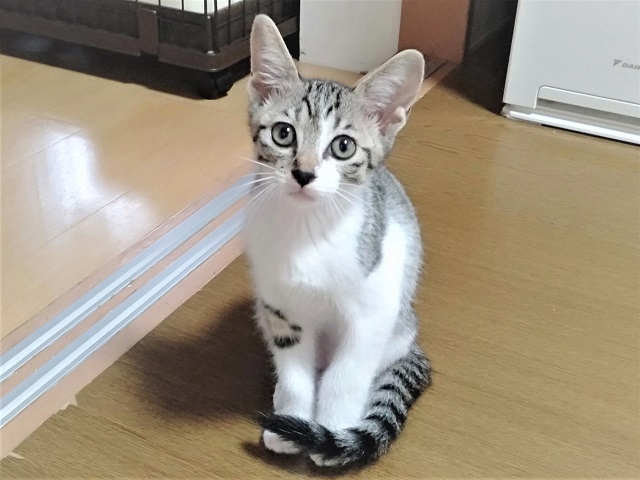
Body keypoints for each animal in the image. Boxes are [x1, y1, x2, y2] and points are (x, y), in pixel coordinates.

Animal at [243, 14, 432, 468]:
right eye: (283, 133)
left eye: (343, 146)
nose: (304, 173)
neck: (308, 231)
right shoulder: (281, 310)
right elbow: (294, 369)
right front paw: (292, 421)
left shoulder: (372, 312)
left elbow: (346, 375)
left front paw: (333, 431)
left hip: (398, 322)